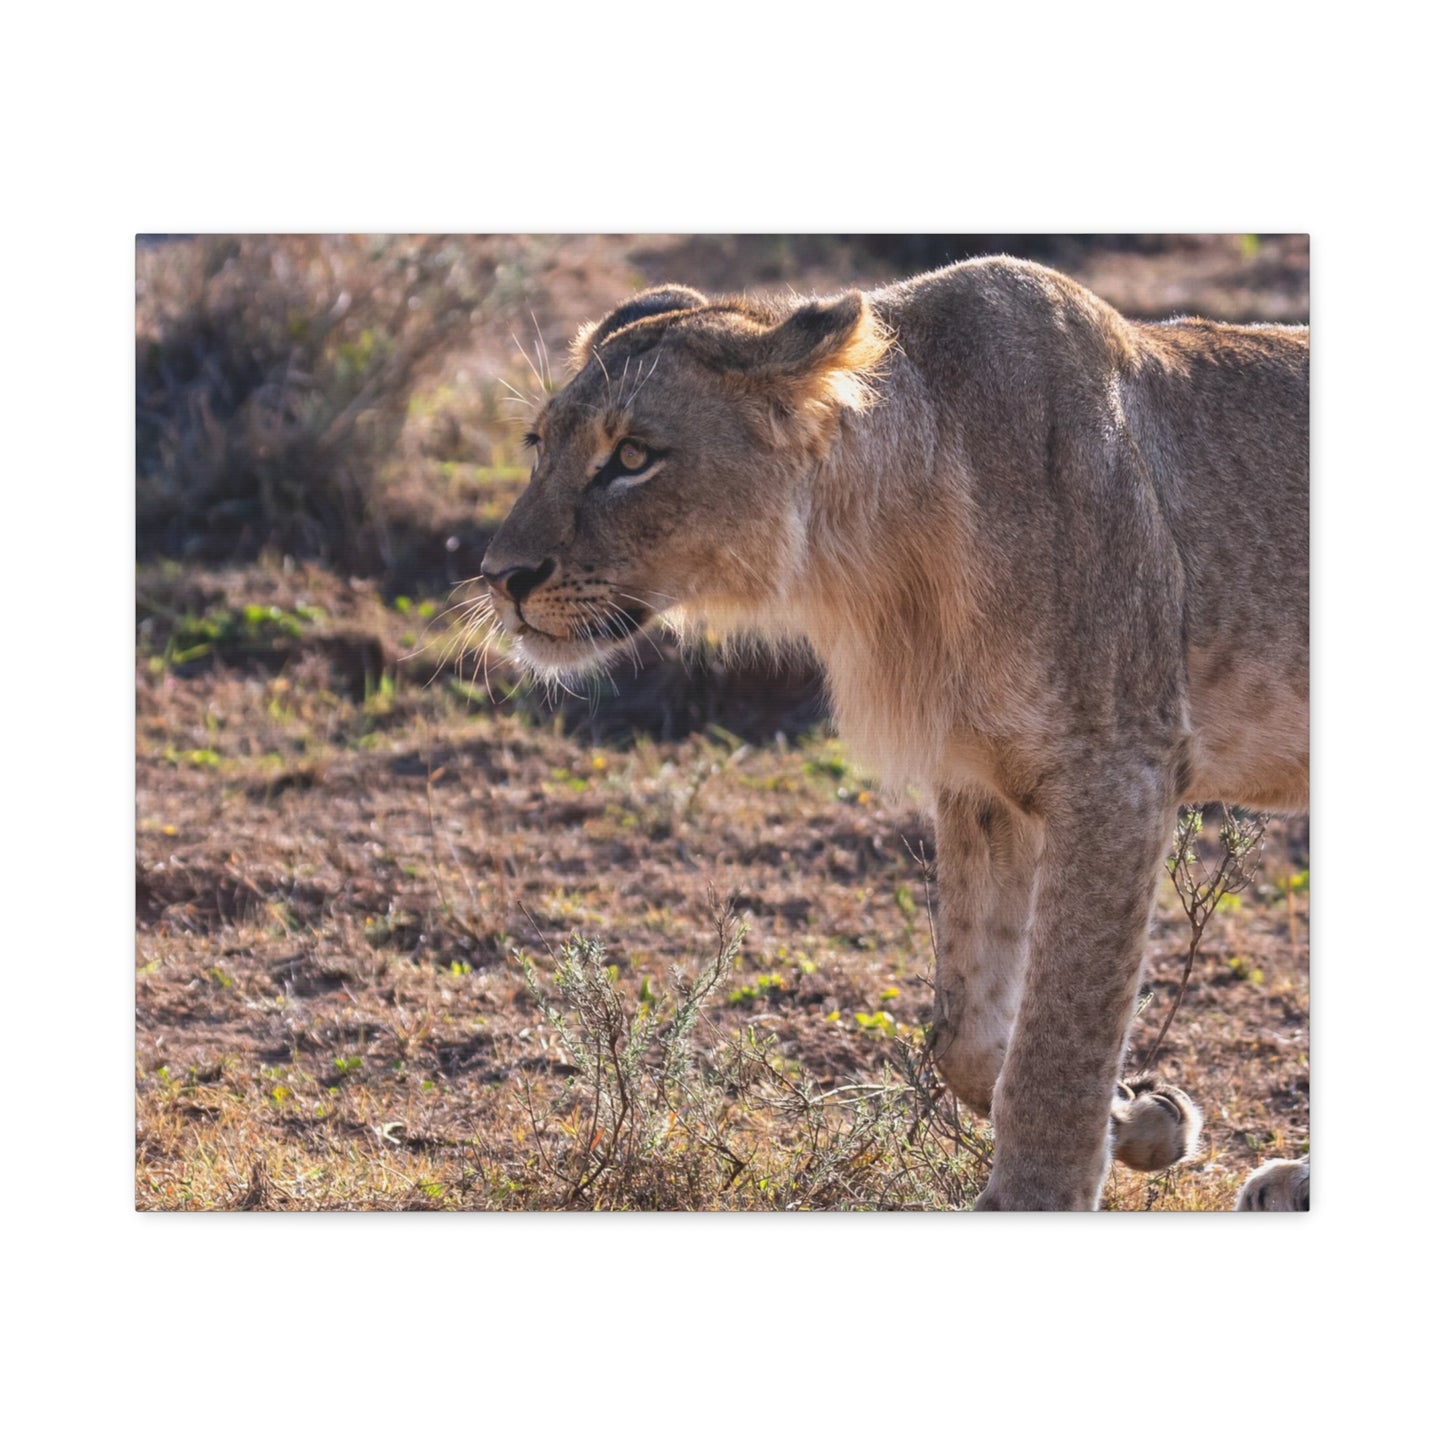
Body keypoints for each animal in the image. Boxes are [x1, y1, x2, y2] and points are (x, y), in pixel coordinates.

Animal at [480, 257, 1309, 1211]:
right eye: (538, 444)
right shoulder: (981, 783)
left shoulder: (1119, 771)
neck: (876, 560)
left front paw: (1038, 1194)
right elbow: (970, 1032)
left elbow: (1061, 1034)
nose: (499, 576)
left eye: (631, 457)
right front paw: (1143, 1117)